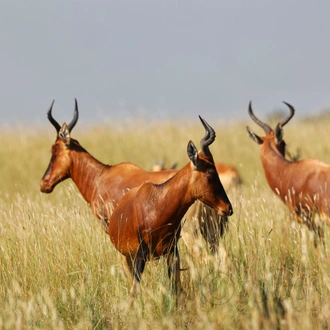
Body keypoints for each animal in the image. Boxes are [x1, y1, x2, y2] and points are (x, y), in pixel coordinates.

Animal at [108, 115, 232, 296]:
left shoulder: (172, 251)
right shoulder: (142, 253)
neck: (157, 204)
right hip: (126, 255)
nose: (228, 208)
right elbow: (135, 289)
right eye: (210, 173)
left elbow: (176, 289)